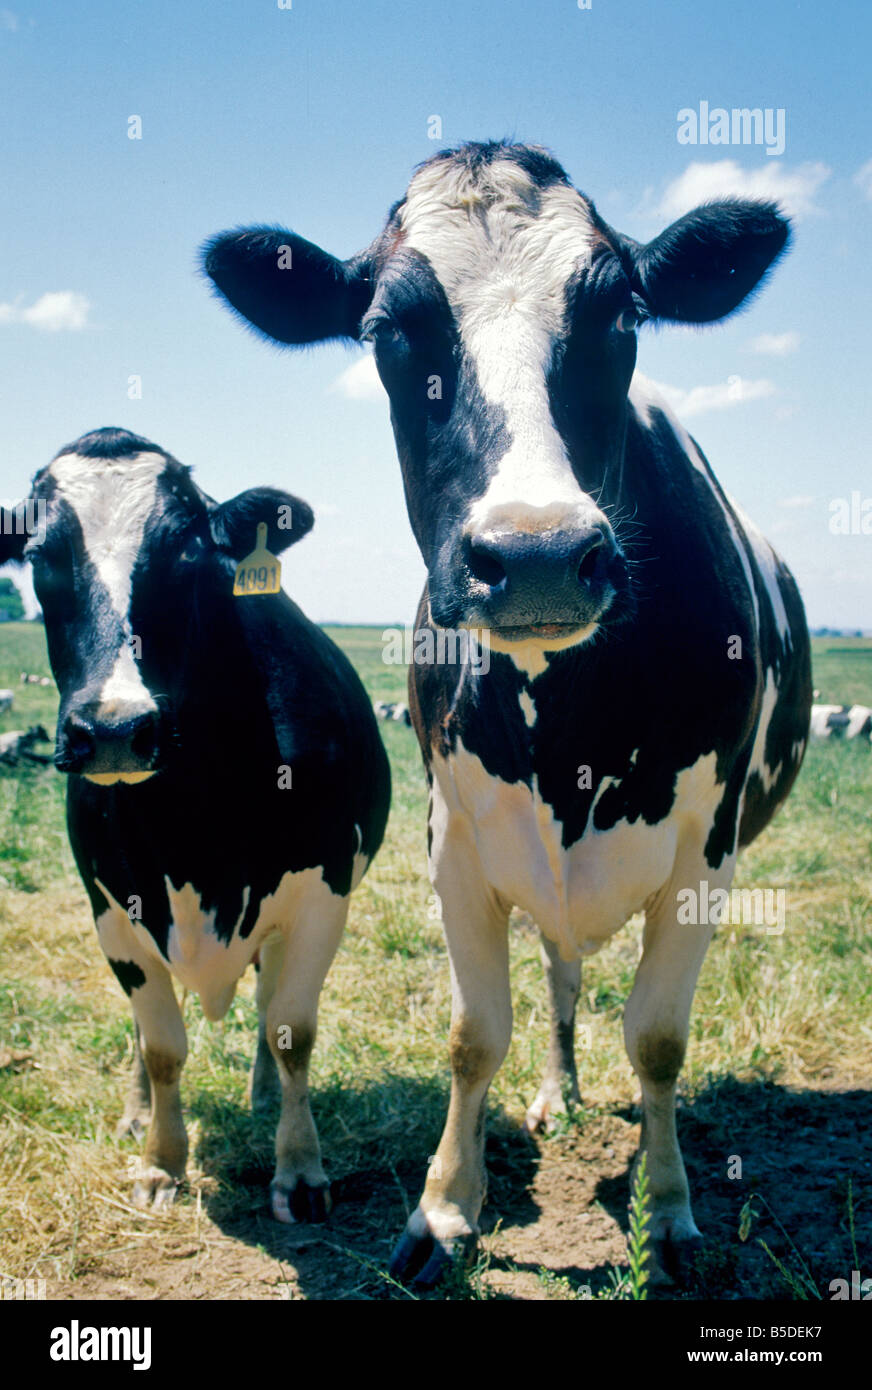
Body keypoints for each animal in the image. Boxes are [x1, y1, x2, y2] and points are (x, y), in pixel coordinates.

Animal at [0, 428, 389, 1223]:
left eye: (187, 550)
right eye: (39, 554)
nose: (114, 730)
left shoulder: (321, 897)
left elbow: (293, 1030)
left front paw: (299, 1169)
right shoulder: (113, 909)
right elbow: (161, 1046)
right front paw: (160, 1161)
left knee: (269, 1007)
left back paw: (263, 1094)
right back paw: (137, 1111)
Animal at [203, 141, 812, 1278]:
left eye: (620, 312)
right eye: (387, 331)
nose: (534, 553)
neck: (566, 728)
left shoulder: (704, 856)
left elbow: (658, 1038)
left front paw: (668, 1210)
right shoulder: (454, 844)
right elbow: (473, 1035)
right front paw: (443, 1211)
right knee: (560, 977)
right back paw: (555, 1092)